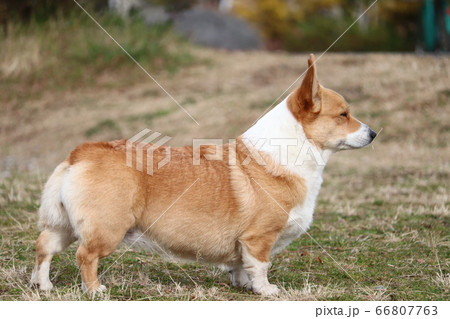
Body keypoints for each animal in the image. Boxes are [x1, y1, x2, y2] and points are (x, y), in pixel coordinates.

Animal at [30, 55, 376, 298]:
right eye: (343, 114)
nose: (374, 133)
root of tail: (82, 153)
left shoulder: (243, 246)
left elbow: (241, 266)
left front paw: (243, 285)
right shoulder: (259, 238)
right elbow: (261, 265)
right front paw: (266, 291)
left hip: (63, 224)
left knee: (44, 246)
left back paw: (43, 286)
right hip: (107, 228)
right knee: (85, 256)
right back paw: (95, 290)